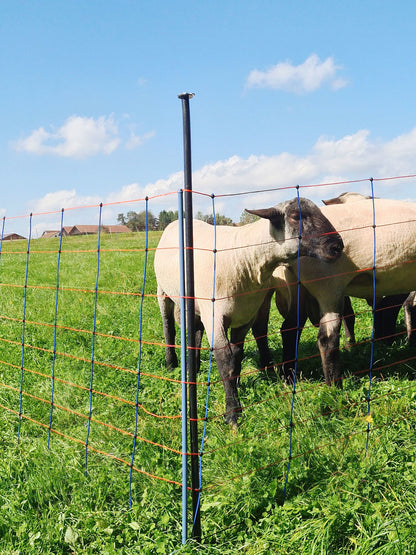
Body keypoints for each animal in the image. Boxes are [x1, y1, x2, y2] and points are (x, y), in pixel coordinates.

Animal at [154, 199, 342, 426]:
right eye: (295, 216)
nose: (337, 246)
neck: (243, 258)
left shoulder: (245, 316)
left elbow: (236, 357)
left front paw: (237, 387)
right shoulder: (215, 317)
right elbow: (225, 362)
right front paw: (233, 414)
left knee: (195, 331)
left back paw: (195, 367)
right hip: (163, 291)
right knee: (168, 328)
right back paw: (171, 364)